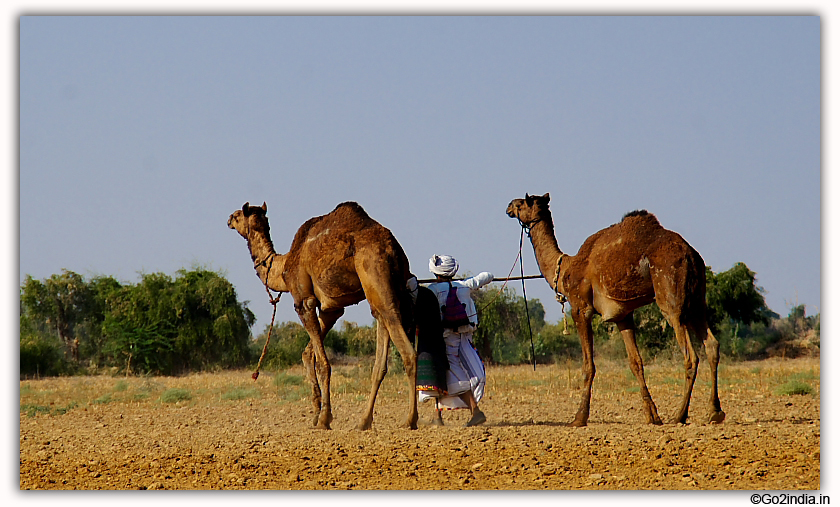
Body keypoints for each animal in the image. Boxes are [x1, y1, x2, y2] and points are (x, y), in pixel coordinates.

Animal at [228, 200, 418, 430]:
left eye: (238, 215)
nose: (228, 219)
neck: (283, 267)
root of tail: (393, 250)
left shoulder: (303, 302)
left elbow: (323, 363)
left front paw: (324, 419)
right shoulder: (331, 309)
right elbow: (308, 354)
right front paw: (316, 413)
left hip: (375, 272)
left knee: (407, 350)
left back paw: (410, 420)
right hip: (388, 288)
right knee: (380, 353)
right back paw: (363, 421)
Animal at [508, 192, 724, 426]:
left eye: (521, 203)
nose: (508, 207)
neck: (565, 268)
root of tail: (691, 256)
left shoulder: (580, 308)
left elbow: (588, 365)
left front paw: (579, 418)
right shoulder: (623, 315)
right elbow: (635, 362)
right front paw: (652, 416)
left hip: (671, 296)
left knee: (690, 355)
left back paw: (680, 415)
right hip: (697, 300)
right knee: (712, 345)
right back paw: (715, 411)